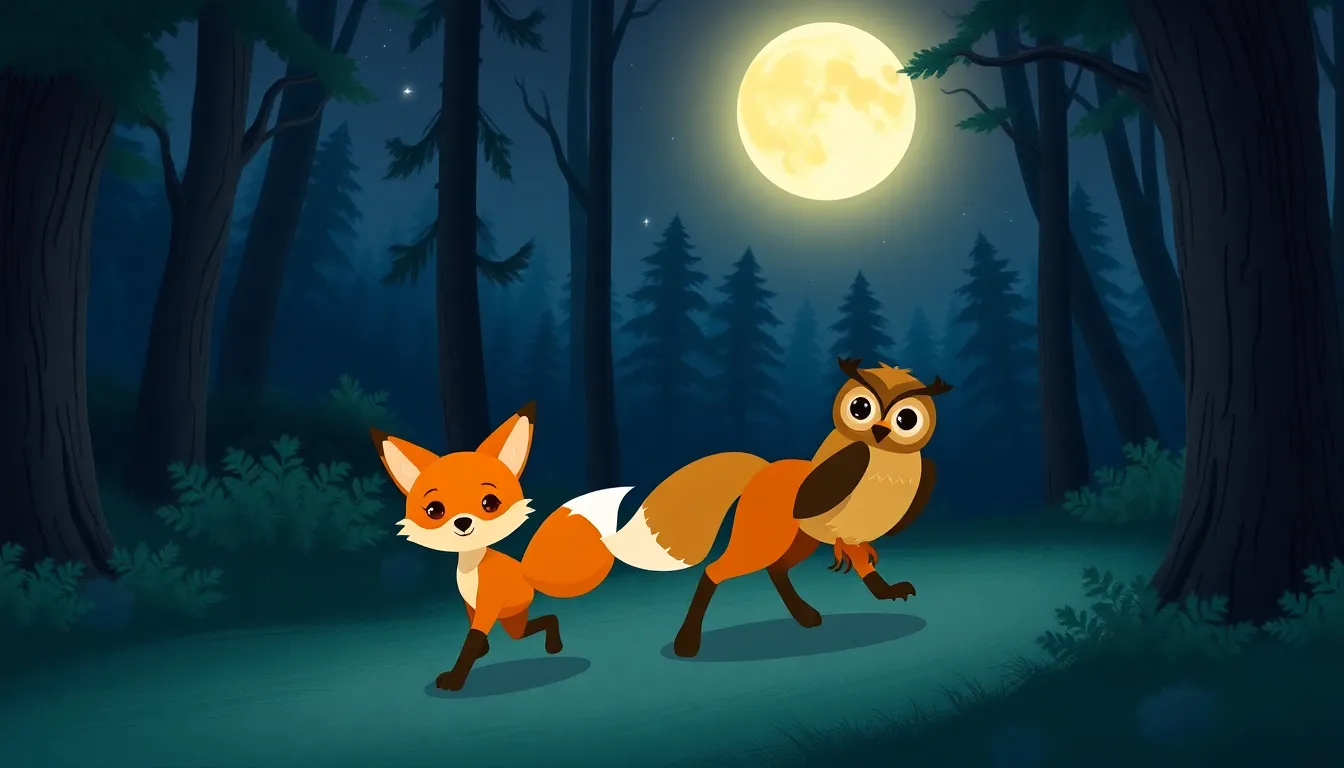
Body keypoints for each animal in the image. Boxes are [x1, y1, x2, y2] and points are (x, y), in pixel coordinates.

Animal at [370, 402, 684, 691]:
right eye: (434, 510)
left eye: (490, 503)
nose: (463, 523)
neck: (472, 565)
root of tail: (526, 573)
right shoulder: (471, 605)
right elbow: (474, 635)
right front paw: (479, 652)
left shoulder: (488, 603)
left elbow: (471, 642)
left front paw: (455, 680)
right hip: (513, 621)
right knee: (533, 625)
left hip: (514, 619)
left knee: (544, 620)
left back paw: (554, 646)